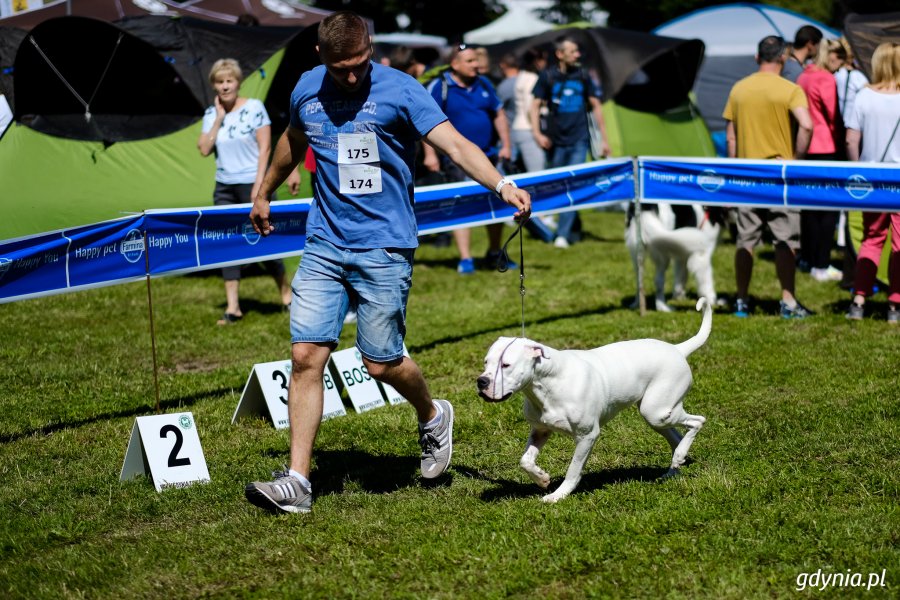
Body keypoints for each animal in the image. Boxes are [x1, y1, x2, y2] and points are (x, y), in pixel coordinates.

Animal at [478, 298, 712, 502]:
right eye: (486, 362)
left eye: (506, 365)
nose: (481, 381)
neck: (547, 383)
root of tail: (678, 349)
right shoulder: (540, 430)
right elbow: (525, 460)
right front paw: (542, 479)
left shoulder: (587, 436)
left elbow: (573, 470)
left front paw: (558, 495)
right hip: (657, 415)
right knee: (676, 435)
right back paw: (675, 466)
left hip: (656, 411)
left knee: (697, 421)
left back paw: (680, 455)